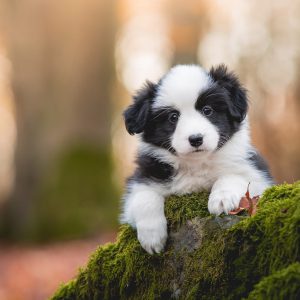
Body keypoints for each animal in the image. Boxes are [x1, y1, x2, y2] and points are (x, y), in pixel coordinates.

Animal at [120, 63, 274, 253]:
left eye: (208, 110)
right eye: (173, 117)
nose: (195, 139)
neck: (196, 163)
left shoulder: (257, 174)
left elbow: (233, 177)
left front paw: (221, 199)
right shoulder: (143, 178)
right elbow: (144, 197)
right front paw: (152, 237)